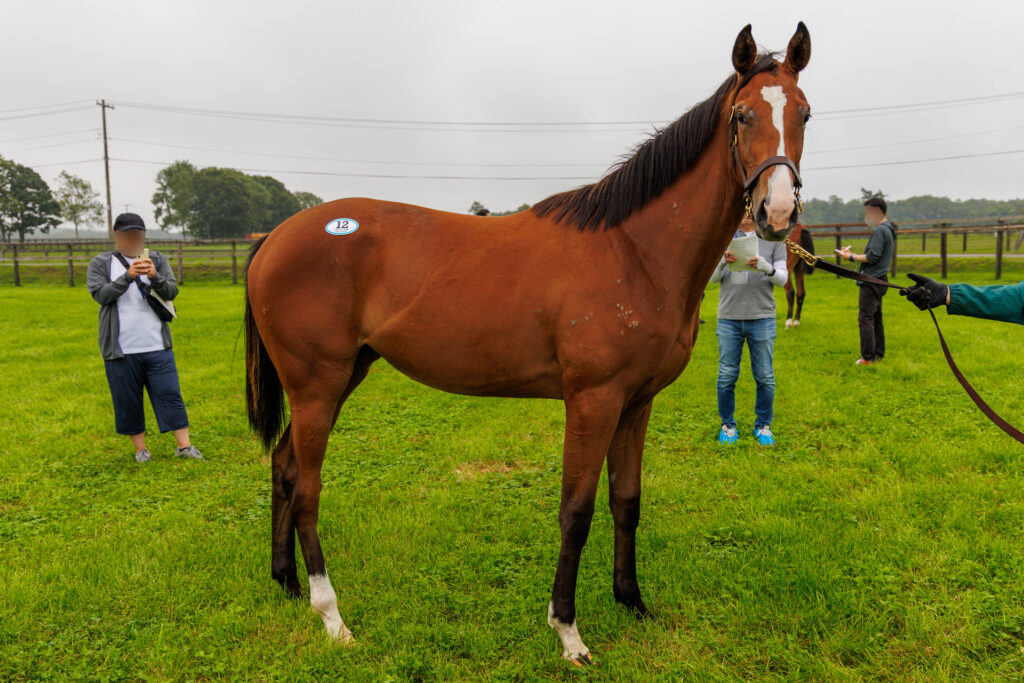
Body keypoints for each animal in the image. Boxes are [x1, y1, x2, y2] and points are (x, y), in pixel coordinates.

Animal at [244, 23, 811, 665]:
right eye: (742, 115)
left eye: (804, 113)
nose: (776, 212)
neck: (634, 252)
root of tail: (274, 238)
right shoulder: (593, 401)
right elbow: (576, 511)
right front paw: (568, 631)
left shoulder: (636, 403)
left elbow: (627, 500)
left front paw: (632, 601)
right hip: (318, 386)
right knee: (307, 486)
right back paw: (332, 616)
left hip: (340, 378)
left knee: (284, 466)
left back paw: (287, 582)